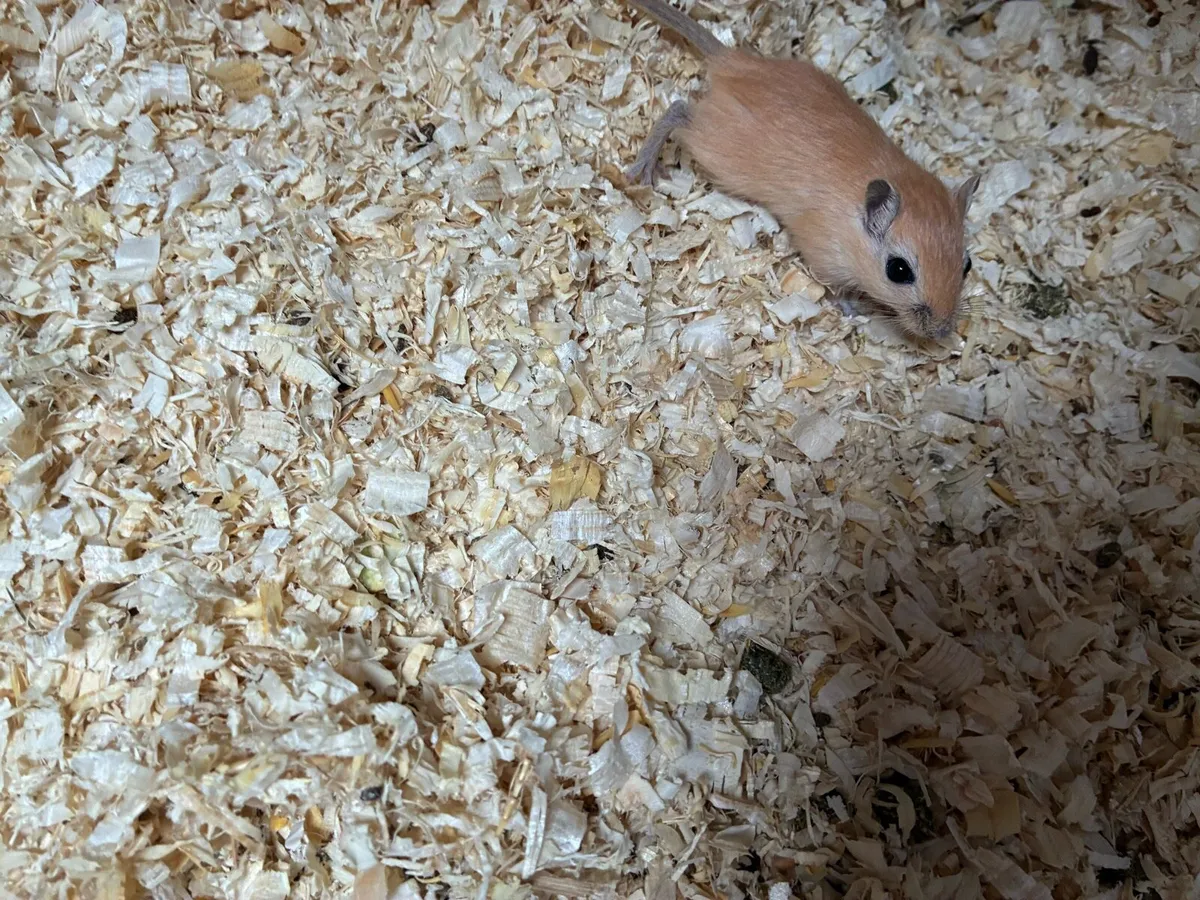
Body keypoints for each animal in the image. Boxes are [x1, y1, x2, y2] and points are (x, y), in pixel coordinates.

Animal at [620, 0, 981, 341]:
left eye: (967, 264)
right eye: (899, 271)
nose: (942, 332)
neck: (853, 227)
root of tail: (729, 61)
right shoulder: (825, 258)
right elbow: (838, 289)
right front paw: (853, 308)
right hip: (714, 146)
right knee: (678, 110)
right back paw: (644, 170)